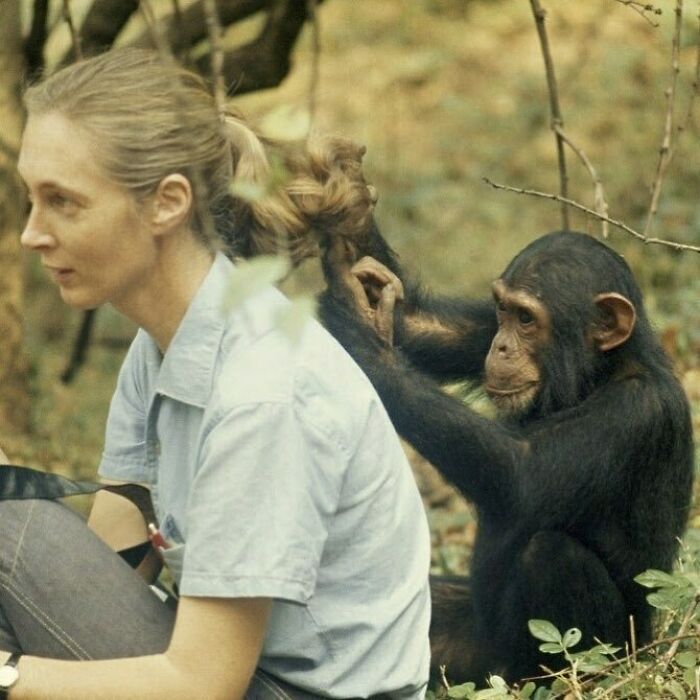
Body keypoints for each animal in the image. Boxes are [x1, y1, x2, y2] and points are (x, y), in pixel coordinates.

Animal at [318, 228, 696, 684]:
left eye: (528, 319)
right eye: (504, 311)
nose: (500, 347)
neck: (597, 374)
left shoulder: (636, 410)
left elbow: (521, 473)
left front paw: (357, 328)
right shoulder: (480, 329)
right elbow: (432, 329)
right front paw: (355, 273)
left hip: (611, 654)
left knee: (552, 554)